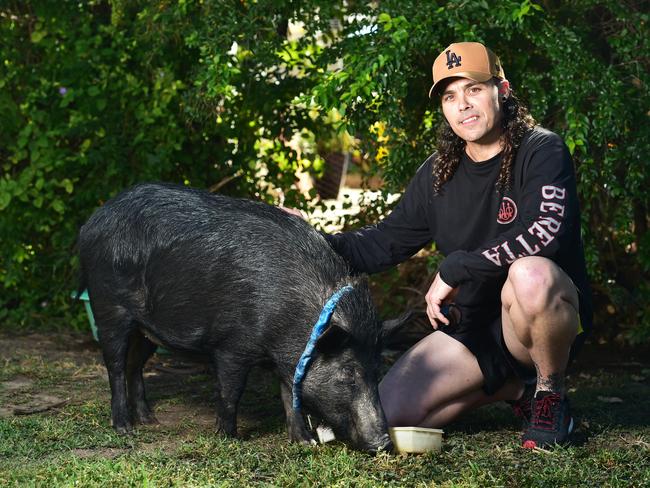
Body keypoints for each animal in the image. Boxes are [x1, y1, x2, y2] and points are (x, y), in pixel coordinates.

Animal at [74, 181, 400, 452]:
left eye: (377, 370)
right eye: (348, 374)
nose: (383, 443)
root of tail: (92, 222)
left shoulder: (286, 356)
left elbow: (288, 394)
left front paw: (305, 443)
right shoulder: (232, 345)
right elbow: (232, 391)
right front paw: (229, 437)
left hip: (147, 329)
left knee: (135, 365)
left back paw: (149, 420)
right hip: (110, 307)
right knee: (115, 366)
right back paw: (124, 428)